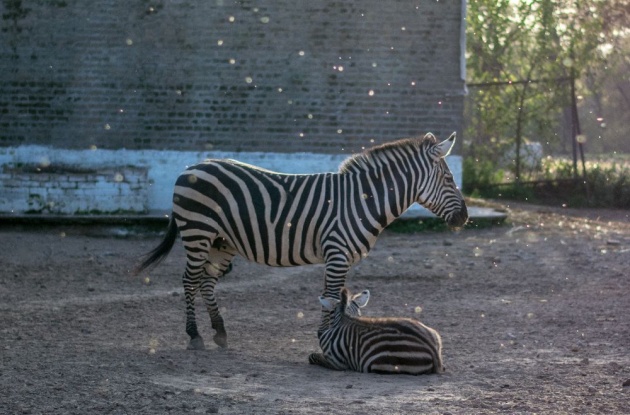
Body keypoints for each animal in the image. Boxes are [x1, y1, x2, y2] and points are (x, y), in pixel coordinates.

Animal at [312, 290, 444, 376]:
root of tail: (432, 350)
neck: (345, 317)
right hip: (433, 333)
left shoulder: (336, 362)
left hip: (385, 363)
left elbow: (313, 357)